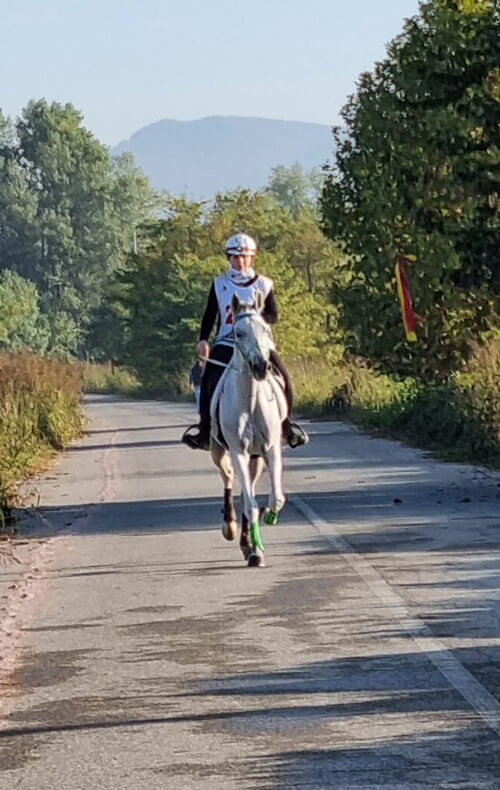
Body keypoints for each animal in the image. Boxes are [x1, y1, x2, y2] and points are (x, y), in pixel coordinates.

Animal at [209, 290, 288, 568]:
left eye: (265, 328)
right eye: (239, 332)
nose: (261, 367)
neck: (251, 401)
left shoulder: (271, 449)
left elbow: (275, 498)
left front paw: (270, 516)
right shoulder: (238, 452)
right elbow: (251, 504)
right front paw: (255, 551)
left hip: (256, 457)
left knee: (247, 491)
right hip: (220, 451)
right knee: (230, 480)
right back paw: (232, 529)